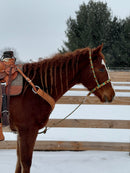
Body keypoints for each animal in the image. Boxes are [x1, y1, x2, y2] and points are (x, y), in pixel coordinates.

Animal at [8, 44, 115, 172]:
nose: (112, 94)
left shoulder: (20, 132)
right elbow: (25, 162)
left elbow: (19, 162)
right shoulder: (27, 130)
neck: (33, 89)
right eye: (102, 69)